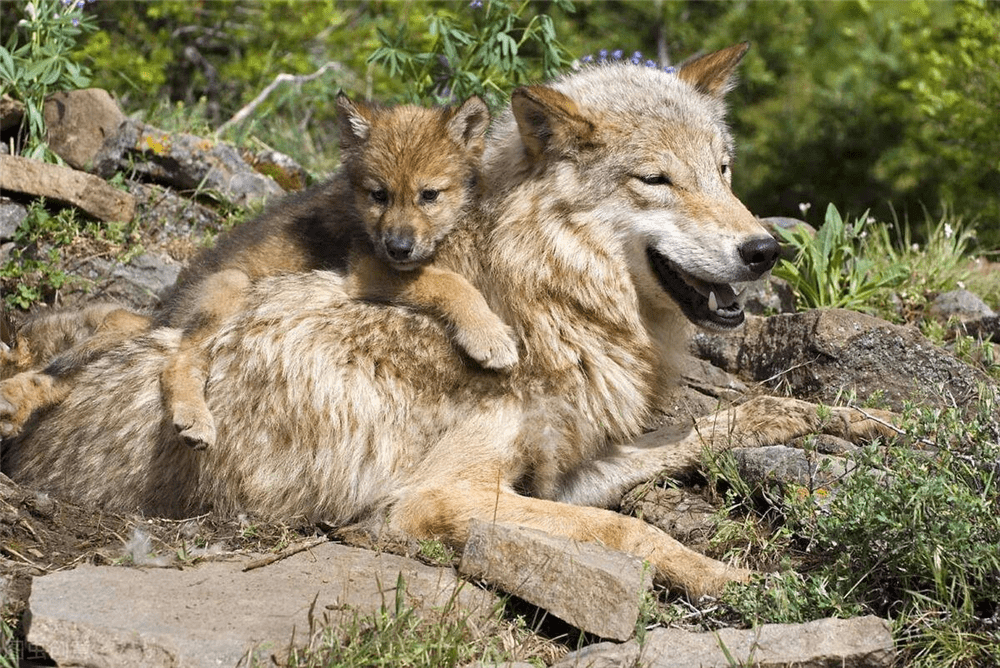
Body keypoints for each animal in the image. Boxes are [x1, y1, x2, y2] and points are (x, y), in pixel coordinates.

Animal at [0, 44, 892, 596]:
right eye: (657, 180)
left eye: (724, 170)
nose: (765, 250)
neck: (541, 299)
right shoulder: (438, 499)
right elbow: (630, 534)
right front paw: (733, 581)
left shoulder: (563, 468)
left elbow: (731, 418)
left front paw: (859, 420)